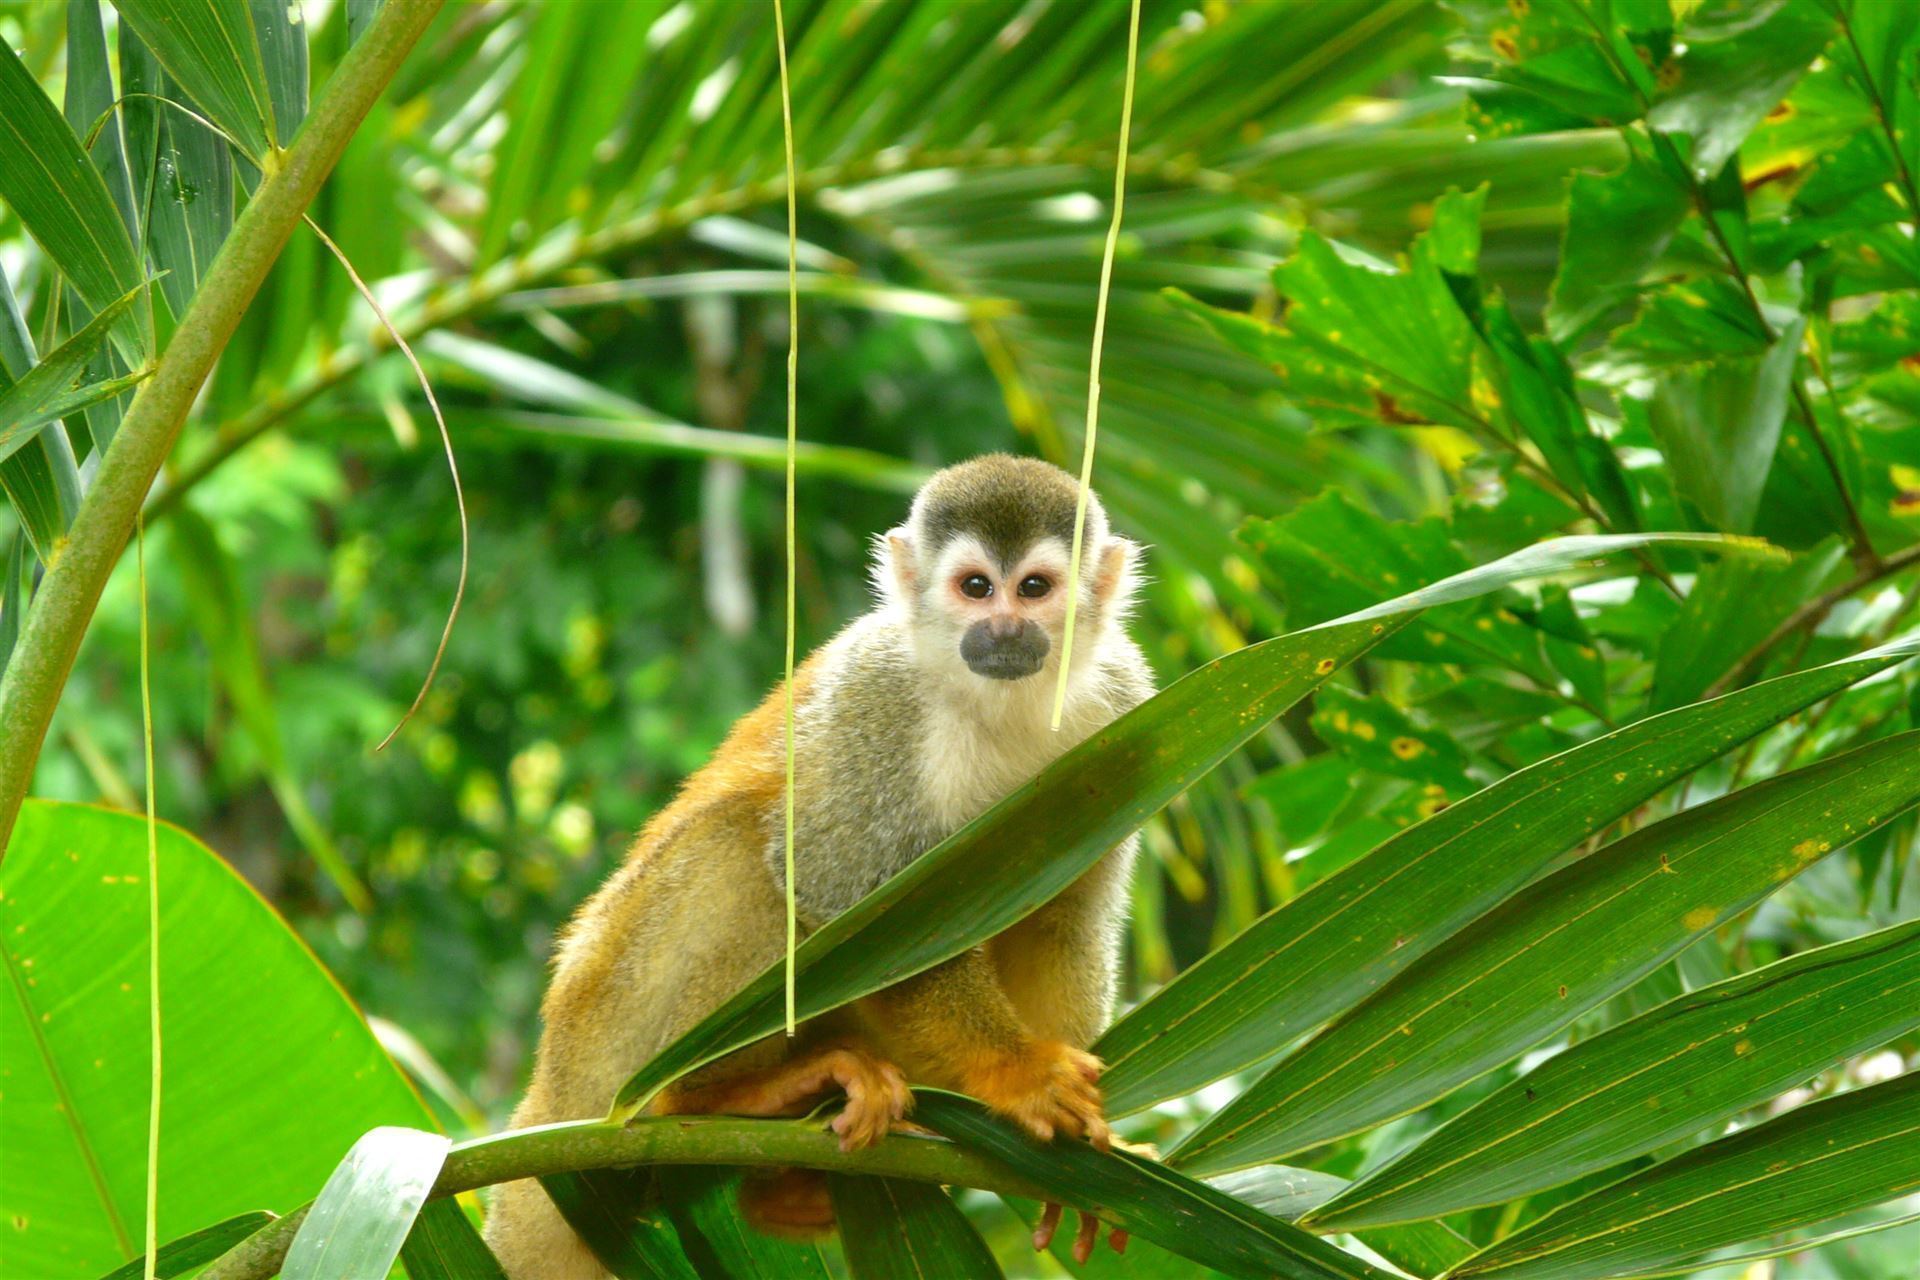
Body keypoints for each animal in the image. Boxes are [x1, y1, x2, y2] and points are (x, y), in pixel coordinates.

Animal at [486, 454, 1154, 1278]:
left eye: (1033, 588)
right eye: (975, 587)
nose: (1002, 630)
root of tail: (549, 1092)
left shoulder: (1128, 704)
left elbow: (1067, 921)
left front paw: (1076, 1162)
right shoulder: (880, 700)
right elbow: (846, 897)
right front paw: (1018, 1070)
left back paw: (782, 1192)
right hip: (606, 1025)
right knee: (742, 854)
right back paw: (710, 1098)